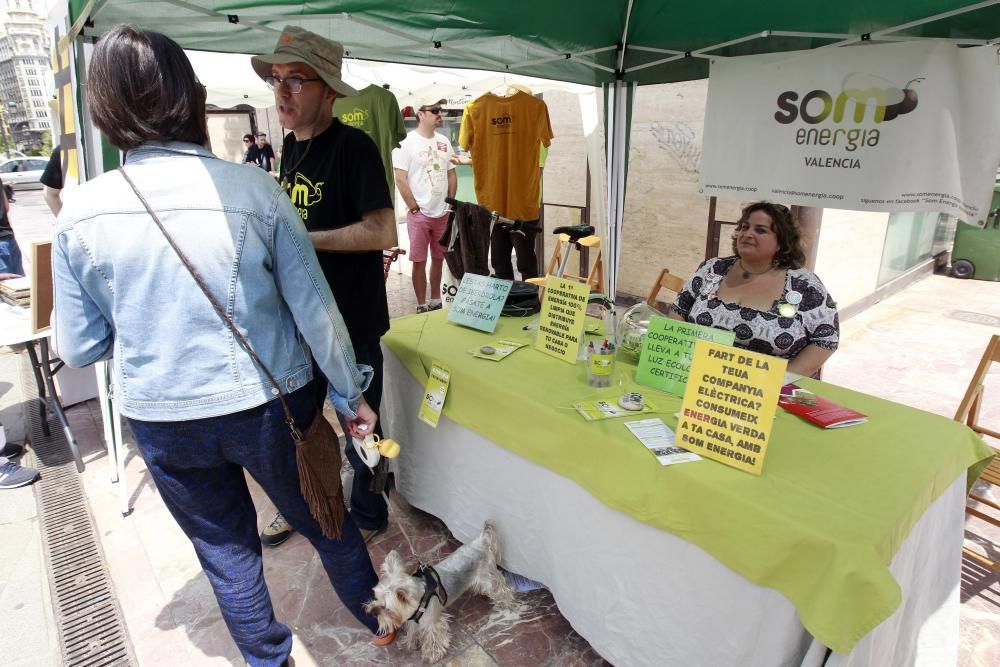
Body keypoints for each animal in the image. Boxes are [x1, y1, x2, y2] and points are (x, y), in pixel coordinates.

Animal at [370, 520, 516, 664]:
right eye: (376, 598)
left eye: (385, 608)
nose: (372, 611)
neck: (421, 595)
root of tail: (480, 541)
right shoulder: (413, 619)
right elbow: (412, 631)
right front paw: (408, 644)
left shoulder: (433, 622)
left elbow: (433, 637)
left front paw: (432, 654)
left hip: (486, 578)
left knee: (500, 587)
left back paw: (505, 603)